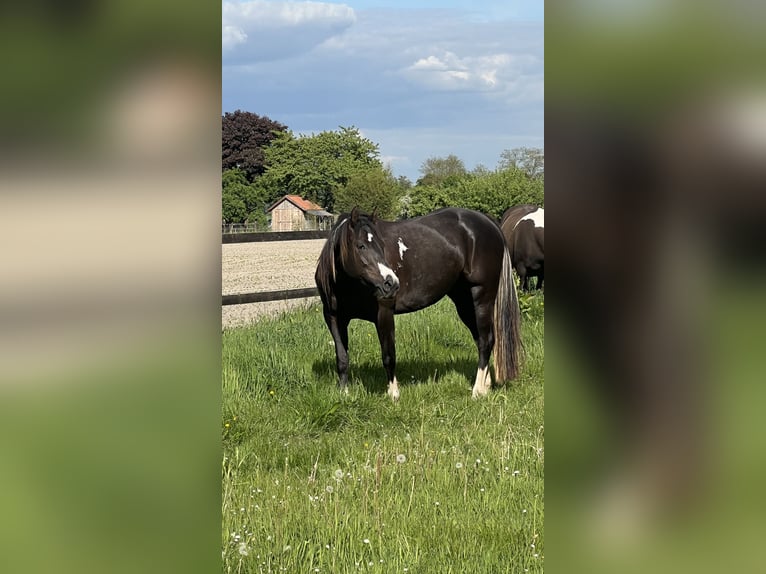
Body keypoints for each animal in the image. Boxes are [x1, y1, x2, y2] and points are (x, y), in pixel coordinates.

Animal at [315, 206, 522, 401]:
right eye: (361, 246)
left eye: (382, 245)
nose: (391, 283)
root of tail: (488, 221)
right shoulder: (334, 318)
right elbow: (342, 357)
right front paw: (344, 393)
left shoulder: (384, 314)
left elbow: (388, 355)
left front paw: (393, 394)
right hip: (464, 302)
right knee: (482, 340)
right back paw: (485, 386)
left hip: (481, 297)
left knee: (486, 340)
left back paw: (477, 391)